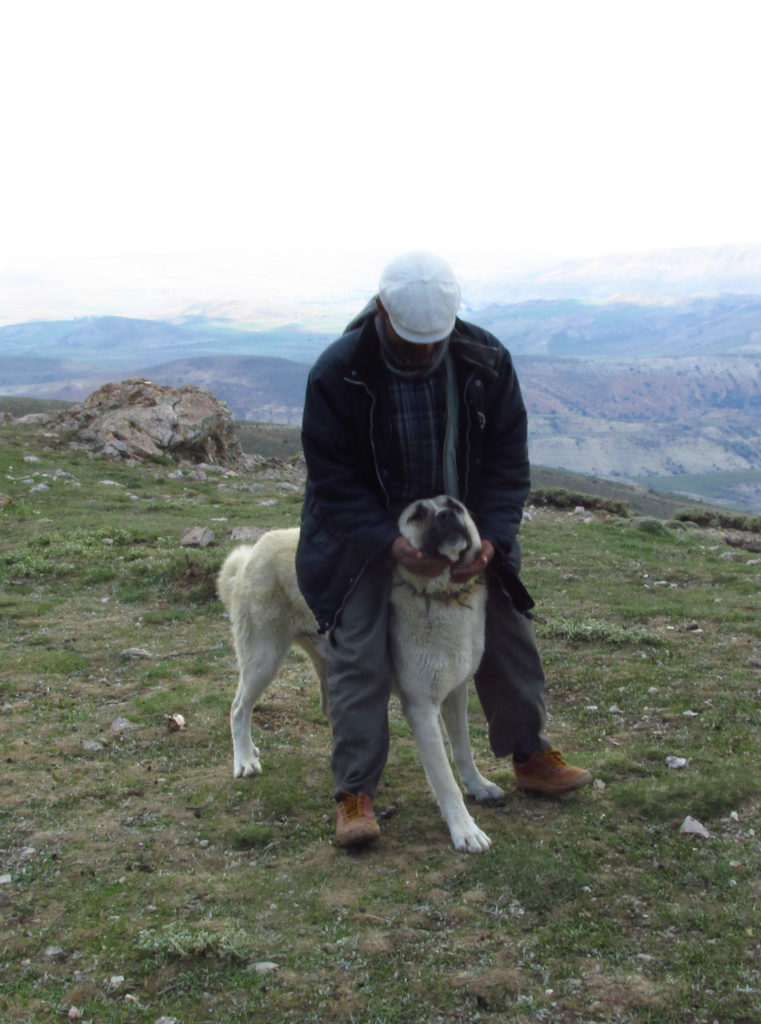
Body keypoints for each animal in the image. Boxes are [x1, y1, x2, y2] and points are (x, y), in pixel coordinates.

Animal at [217, 491, 503, 851]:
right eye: (418, 515)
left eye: (454, 506)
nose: (446, 517)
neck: (442, 595)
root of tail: (254, 550)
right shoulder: (421, 708)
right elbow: (444, 778)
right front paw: (464, 829)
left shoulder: (455, 692)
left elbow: (463, 750)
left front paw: (478, 785)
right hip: (263, 658)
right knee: (238, 708)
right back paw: (244, 759)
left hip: (326, 662)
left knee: (331, 710)